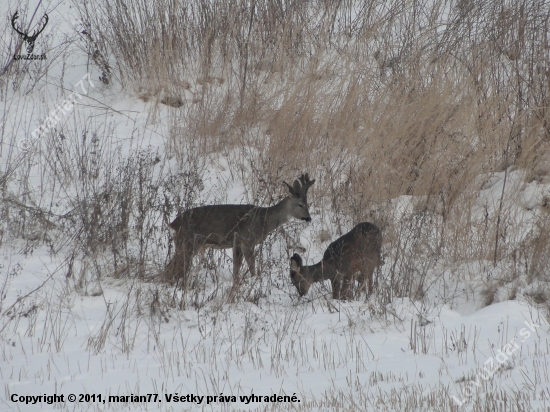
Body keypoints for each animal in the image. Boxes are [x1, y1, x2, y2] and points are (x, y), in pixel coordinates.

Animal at [167, 173, 314, 296]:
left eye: (307, 203)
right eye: (300, 204)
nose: (309, 218)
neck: (264, 220)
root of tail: (173, 224)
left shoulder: (237, 243)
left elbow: (237, 269)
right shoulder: (247, 240)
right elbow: (252, 268)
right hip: (188, 242)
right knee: (172, 268)